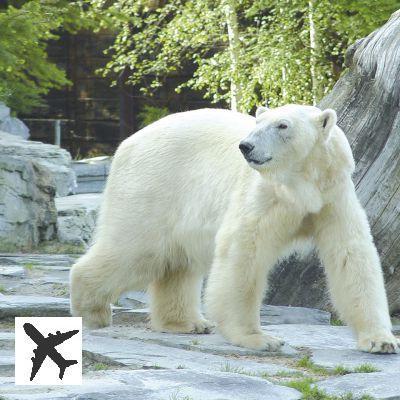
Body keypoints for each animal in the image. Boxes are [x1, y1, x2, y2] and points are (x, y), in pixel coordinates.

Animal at [70, 105, 398, 354]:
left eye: (282, 125)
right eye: (257, 122)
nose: (246, 146)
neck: (301, 183)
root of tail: (127, 143)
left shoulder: (333, 195)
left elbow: (351, 255)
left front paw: (381, 341)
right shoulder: (264, 193)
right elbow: (244, 251)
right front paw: (260, 338)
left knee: (177, 261)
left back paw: (187, 322)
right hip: (154, 185)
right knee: (137, 248)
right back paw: (92, 312)